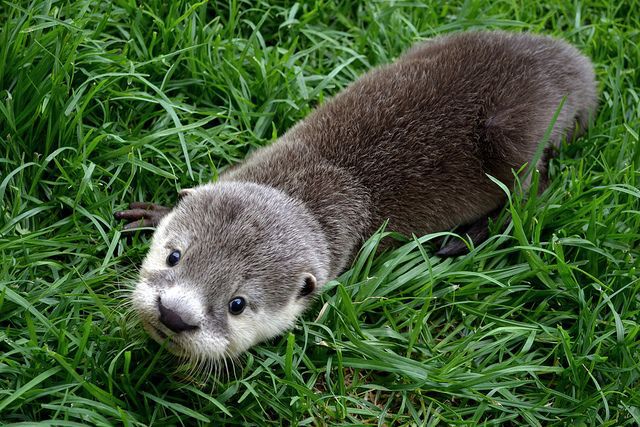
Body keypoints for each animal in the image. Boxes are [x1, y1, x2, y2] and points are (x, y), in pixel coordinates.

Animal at [115, 31, 597, 363]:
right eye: (174, 256)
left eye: (238, 304)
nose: (175, 315)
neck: (309, 183)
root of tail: (570, 66)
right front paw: (154, 212)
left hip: (513, 132)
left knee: (533, 190)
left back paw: (468, 238)